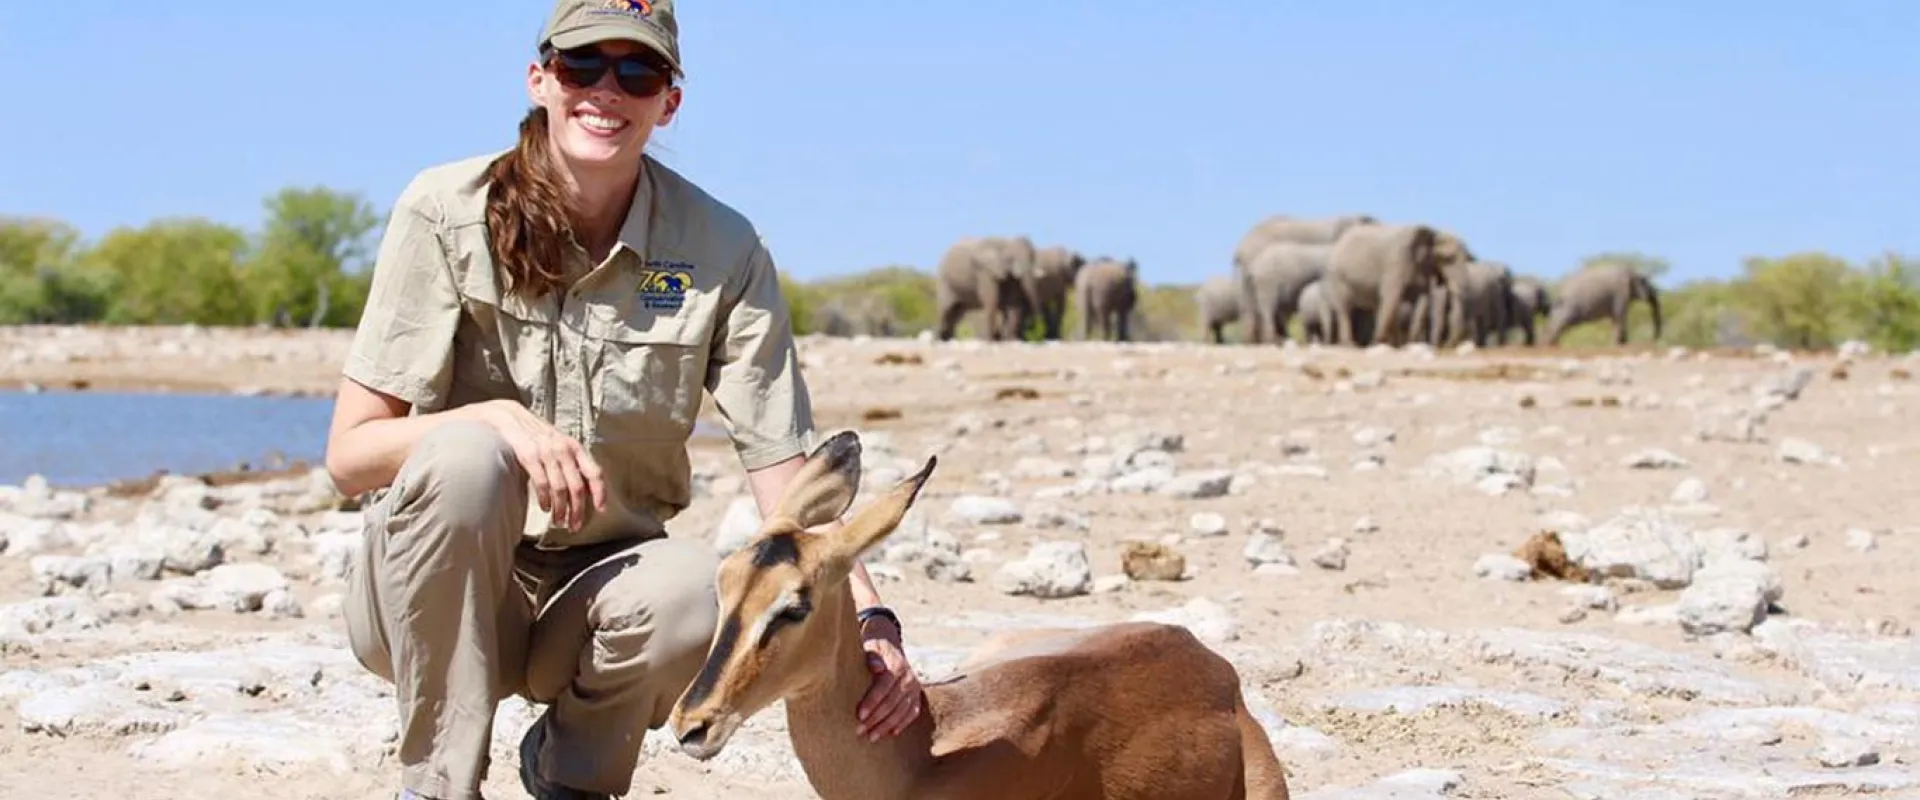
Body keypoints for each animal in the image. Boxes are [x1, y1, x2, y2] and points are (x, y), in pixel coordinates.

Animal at [1320, 224, 1466, 349]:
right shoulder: (1397, 262)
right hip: (1337, 276)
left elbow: (1420, 299)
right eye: (1448, 259)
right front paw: (1378, 343)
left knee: (1379, 304)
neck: (1434, 233)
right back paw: (1350, 345)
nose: (1445, 346)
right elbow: (1393, 298)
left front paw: (1399, 345)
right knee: (1345, 308)